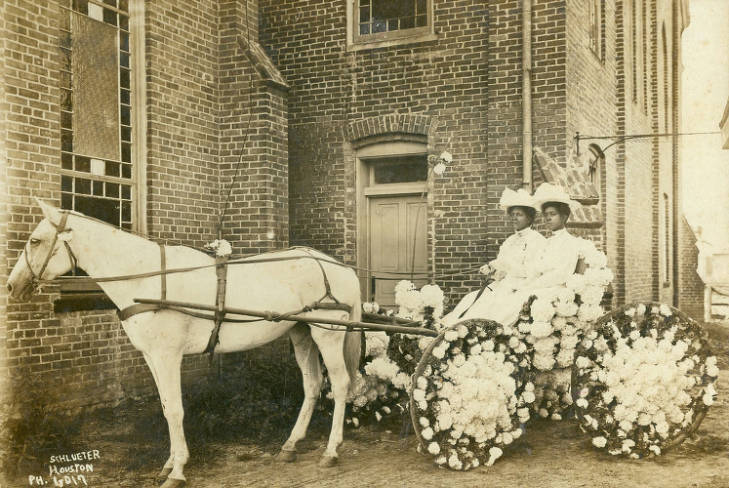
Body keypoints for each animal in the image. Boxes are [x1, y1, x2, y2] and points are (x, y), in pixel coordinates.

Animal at [8, 200, 364, 486]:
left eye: (35, 240)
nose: (12, 286)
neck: (147, 278)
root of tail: (339, 267)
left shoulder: (168, 356)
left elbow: (177, 409)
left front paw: (178, 471)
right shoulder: (151, 356)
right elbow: (167, 408)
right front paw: (169, 464)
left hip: (328, 332)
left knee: (340, 384)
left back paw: (331, 451)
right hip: (301, 333)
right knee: (312, 385)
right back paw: (290, 445)